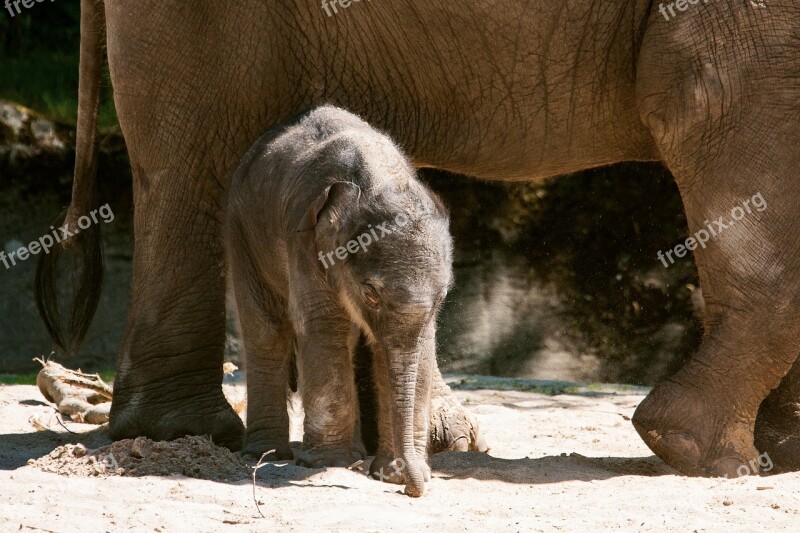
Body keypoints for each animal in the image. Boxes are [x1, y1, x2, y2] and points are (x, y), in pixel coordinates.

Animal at [225, 104, 454, 494]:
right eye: (370, 293)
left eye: (443, 296)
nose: (412, 488)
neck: (380, 178)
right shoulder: (305, 244)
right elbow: (326, 326)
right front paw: (328, 464)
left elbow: (415, 347)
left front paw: (390, 471)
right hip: (242, 231)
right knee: (266, 331)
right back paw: (266, 454)